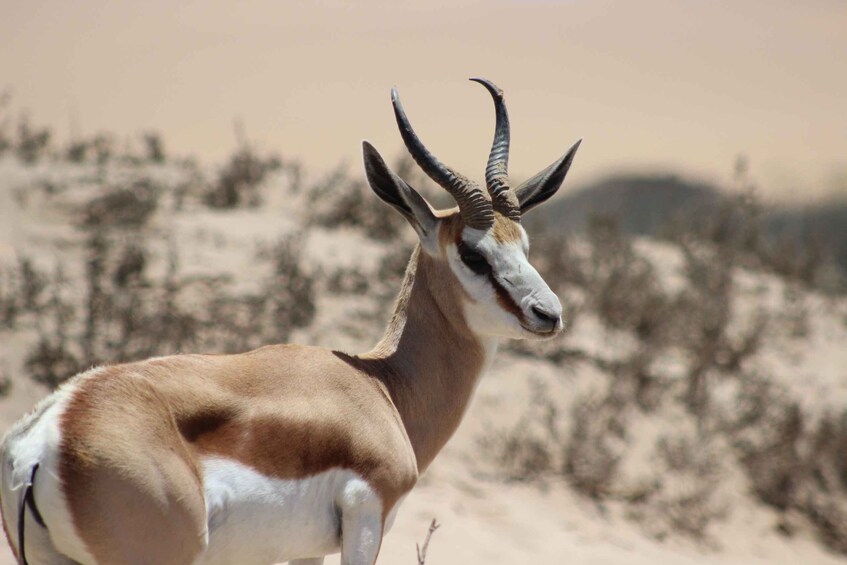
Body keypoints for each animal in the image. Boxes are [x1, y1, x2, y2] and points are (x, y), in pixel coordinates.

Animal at [0, 78, 580, 565]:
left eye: (524, 245)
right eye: (474, 255)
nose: (549, 315)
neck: (381, 387)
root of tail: (50, 433)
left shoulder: (308, 549)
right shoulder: (365, 522)